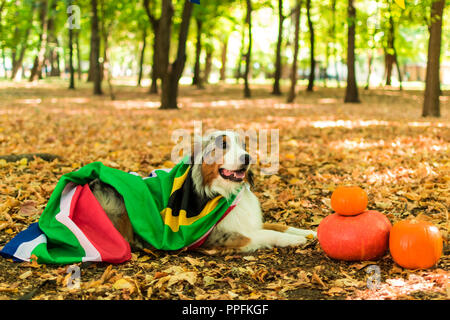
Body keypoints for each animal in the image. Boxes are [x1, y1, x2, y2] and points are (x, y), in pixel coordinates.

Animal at [89, 129, 316, 250]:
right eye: (223, 145)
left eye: (243, 146)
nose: (248, 158)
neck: (223, 192)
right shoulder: (222, 235)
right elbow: (266, 234)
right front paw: (294, 240)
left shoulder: (248, 222)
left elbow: (278, 225)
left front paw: (308, 232)